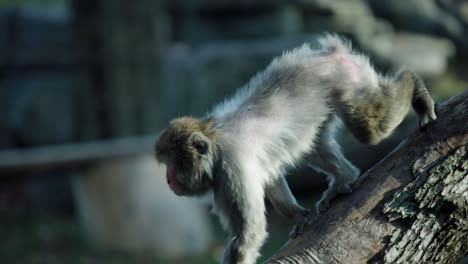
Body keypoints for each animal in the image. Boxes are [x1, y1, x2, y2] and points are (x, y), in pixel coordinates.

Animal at [155, 35, 436, 264]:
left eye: (172, 164)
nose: (167, 180)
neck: (213, 139)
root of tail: (330, 53)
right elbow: (270, 176)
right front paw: (297, 215)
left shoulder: (230, 171)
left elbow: (247, 235)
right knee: (314, 144)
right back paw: (345, 177)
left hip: (348, 80)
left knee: (369, 131)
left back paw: (414, 85)